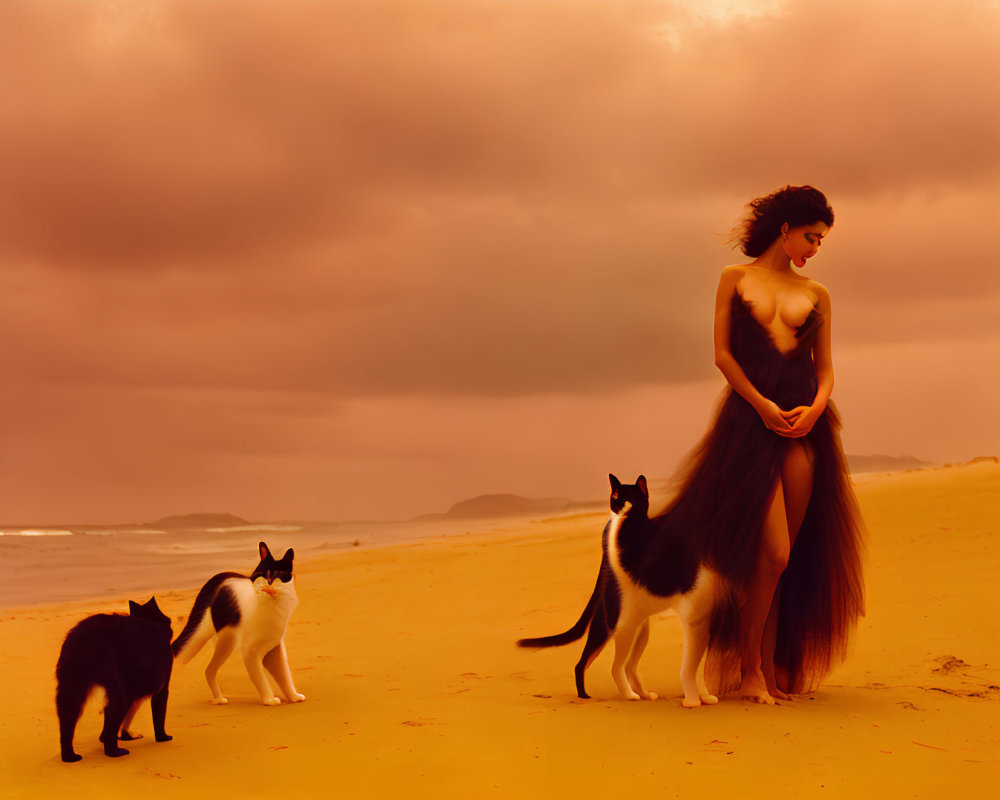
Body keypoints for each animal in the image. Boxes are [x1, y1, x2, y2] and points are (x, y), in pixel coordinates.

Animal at [54, 600, 174, 764]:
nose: (170, 625)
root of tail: (82, 641)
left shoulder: (131, 692)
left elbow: (124, 719)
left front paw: (124, 736)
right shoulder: (161, 688)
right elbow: (158, 716)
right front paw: (163, 738)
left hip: (71, 687)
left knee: (67, 719)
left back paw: (69, 757)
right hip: (111, 683)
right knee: (114, 709)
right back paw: (114, 752)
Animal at [172, 544, 304, 708]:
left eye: (279, 574)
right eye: (263, 574)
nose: (269, 581)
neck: (270, 606)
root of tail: (216, 578)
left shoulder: (274, 649)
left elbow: (285, 675)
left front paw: (293, 697)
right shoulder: (251, 652)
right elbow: (260, 678)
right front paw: (269, 699)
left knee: (209, 670)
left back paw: (218, 699)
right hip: (224, 640)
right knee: (205, 667)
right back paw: (218, 699)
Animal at [520, 476, 724, 708]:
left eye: (625, 496)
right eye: (615, 495)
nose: (620, 506)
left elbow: (696, 669)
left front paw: (704, 696)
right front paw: (694, 700)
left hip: (640, 630)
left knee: (629, 666)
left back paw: (643, 694)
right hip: (613, 627)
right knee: (602, 666)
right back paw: (613, 695)